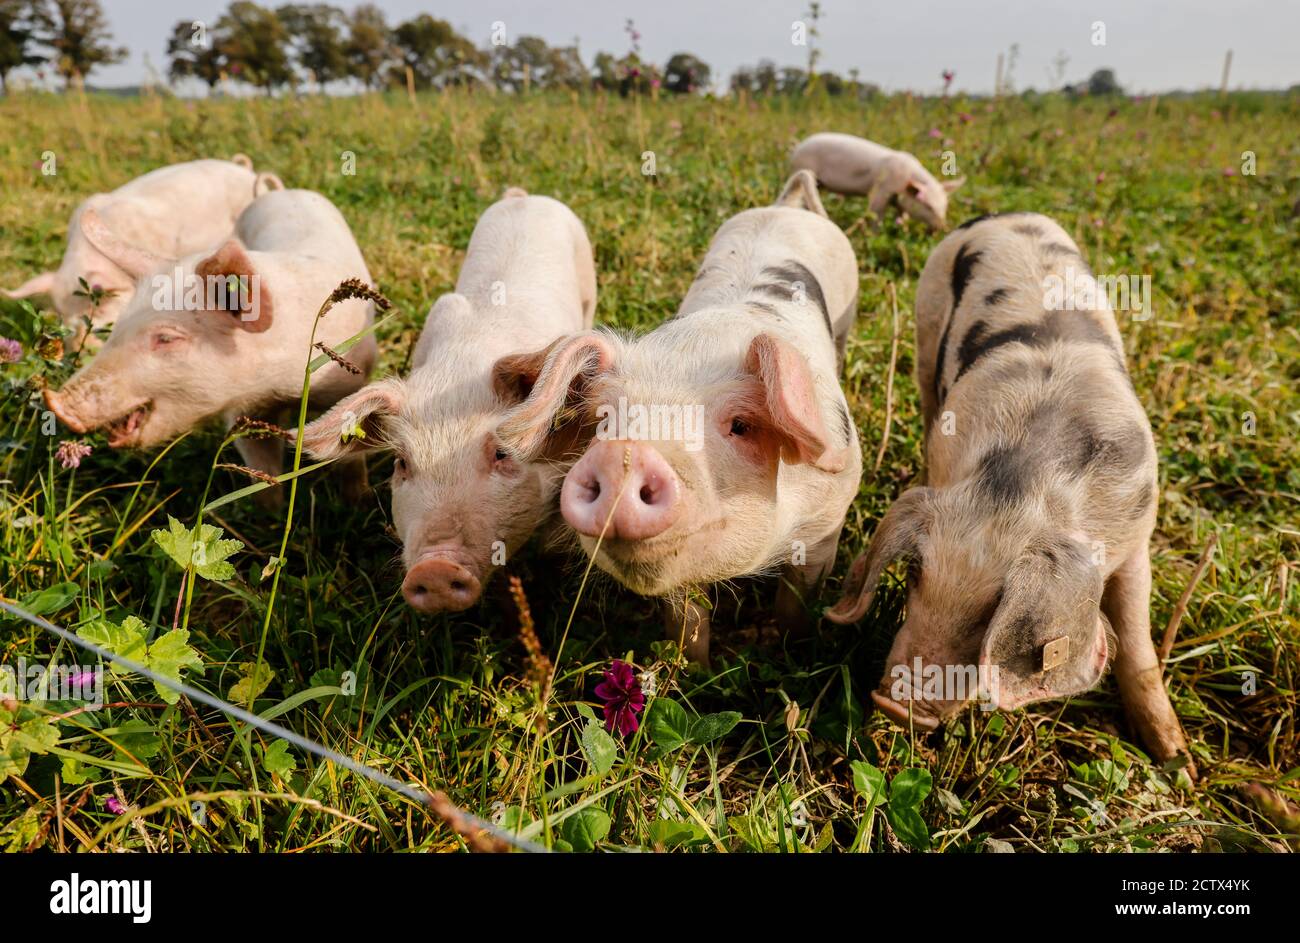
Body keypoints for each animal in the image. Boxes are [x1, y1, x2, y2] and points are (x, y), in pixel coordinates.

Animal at [41, 185, 377, 491]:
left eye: (166, 339)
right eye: (119, 324)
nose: (55, 402)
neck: (279, 387)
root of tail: (282, 191)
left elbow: (349, 456)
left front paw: (357, 498)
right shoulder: (244, 411)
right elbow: (262, 472)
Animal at [790, 131, 967, 230]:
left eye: (945, 206)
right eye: (928, 206)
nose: (943, 228)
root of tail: (797, 147)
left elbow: (903, 216)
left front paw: (902, 229)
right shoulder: (881, 190)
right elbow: (876, 213)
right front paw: (875, 234)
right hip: (801, 167)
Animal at [826, 213, 1190, 770]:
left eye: (993, 613)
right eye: (915, 575)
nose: (895, 706)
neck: (1020, 484)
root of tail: (1003, 217)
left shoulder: (1137, 532)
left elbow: (1137, 644)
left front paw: (1178, 763)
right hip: (926, 320)